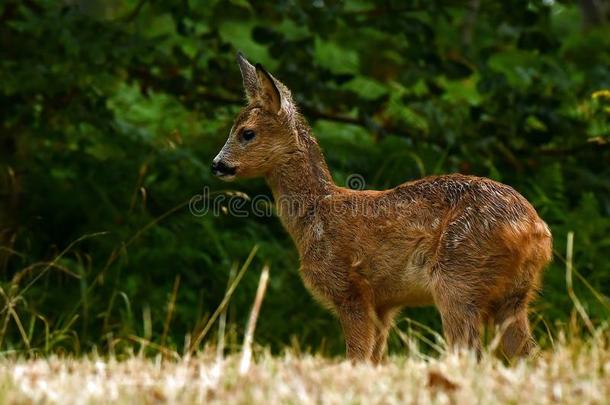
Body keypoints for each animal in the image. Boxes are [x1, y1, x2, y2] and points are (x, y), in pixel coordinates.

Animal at [211, 51, 552, 362]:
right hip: (514, 295)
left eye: (247, 133)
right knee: (528, 355)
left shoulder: (350, 288)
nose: (217, 164)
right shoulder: (384, 304)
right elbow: (374, 360)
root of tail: (535, 230)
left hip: (459, 278)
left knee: (471, 354)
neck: (314, 214)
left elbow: (357, 357)